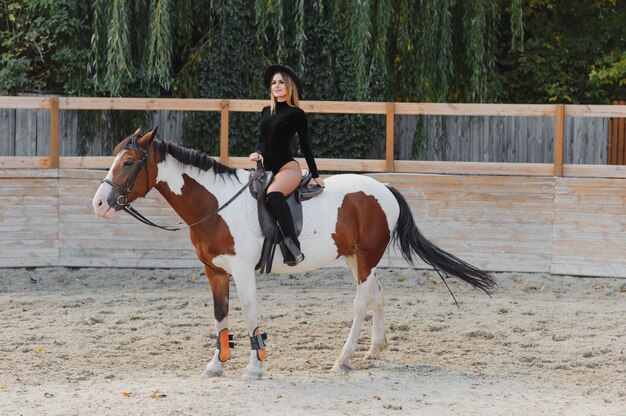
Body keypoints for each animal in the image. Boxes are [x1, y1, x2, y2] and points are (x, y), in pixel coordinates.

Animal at [91, 128, 492, 378]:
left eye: (129, 163)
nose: (99, 203)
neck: (217, 203)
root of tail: (384, 189)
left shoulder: (241, 270)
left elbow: (249, 312)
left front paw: (255, 366)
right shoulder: (214, 270)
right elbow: (221, 315)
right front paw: (217, 364)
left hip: (365, 259)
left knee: (361, 303)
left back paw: (342, 359)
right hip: (355, 257)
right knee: (377, 295)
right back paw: (373, 351)